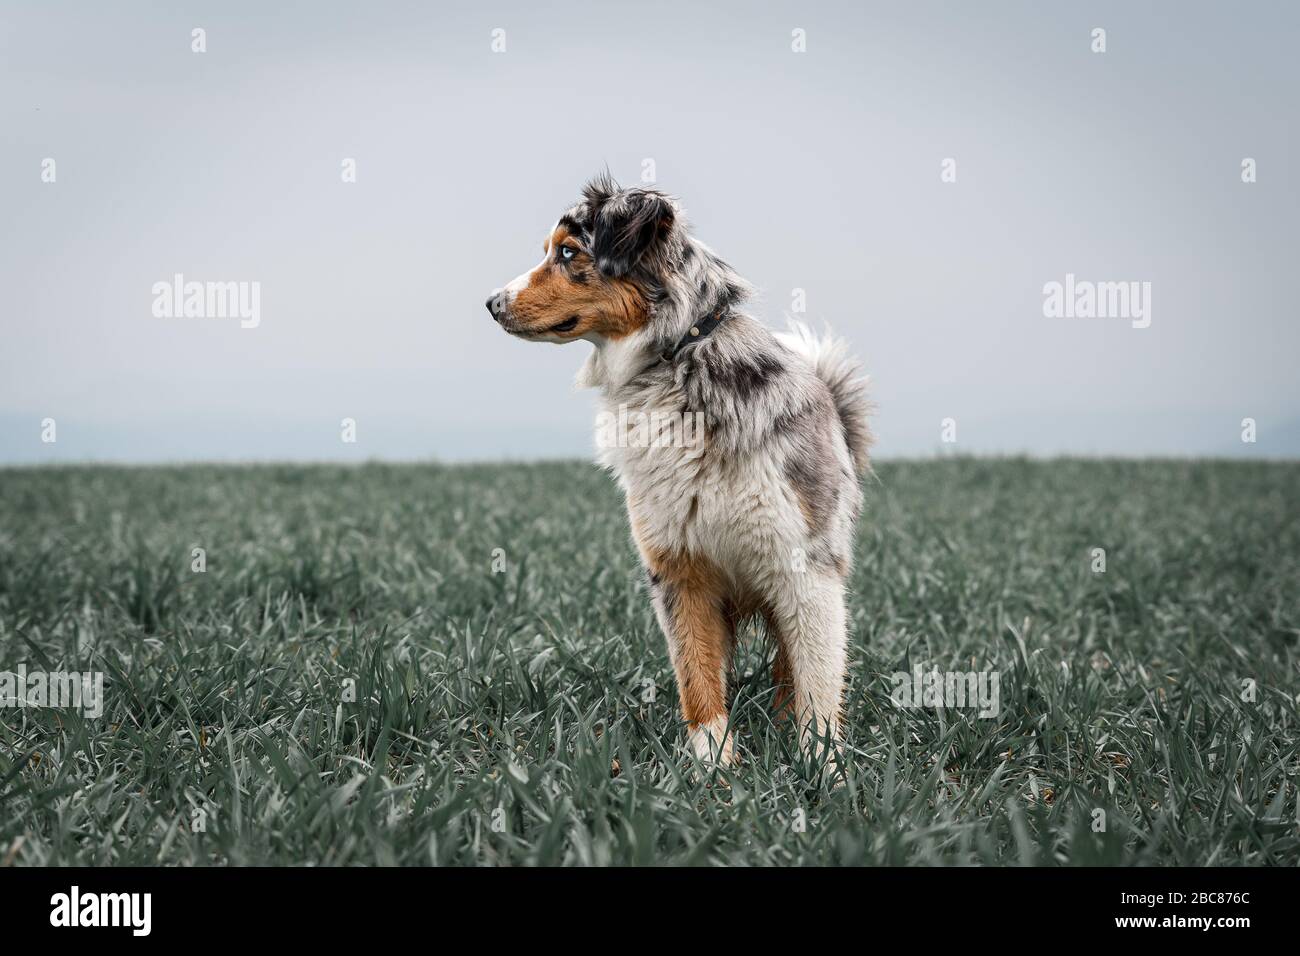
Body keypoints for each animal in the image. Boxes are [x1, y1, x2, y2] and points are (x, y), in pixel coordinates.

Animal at [488, 174, 873, 770]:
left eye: (568, 252)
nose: (490, 303)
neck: (677, 361)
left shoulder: (806, 570)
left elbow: (817, 688)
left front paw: (820, 772)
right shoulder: (678, 567)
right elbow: (698, 679)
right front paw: (712, 769)